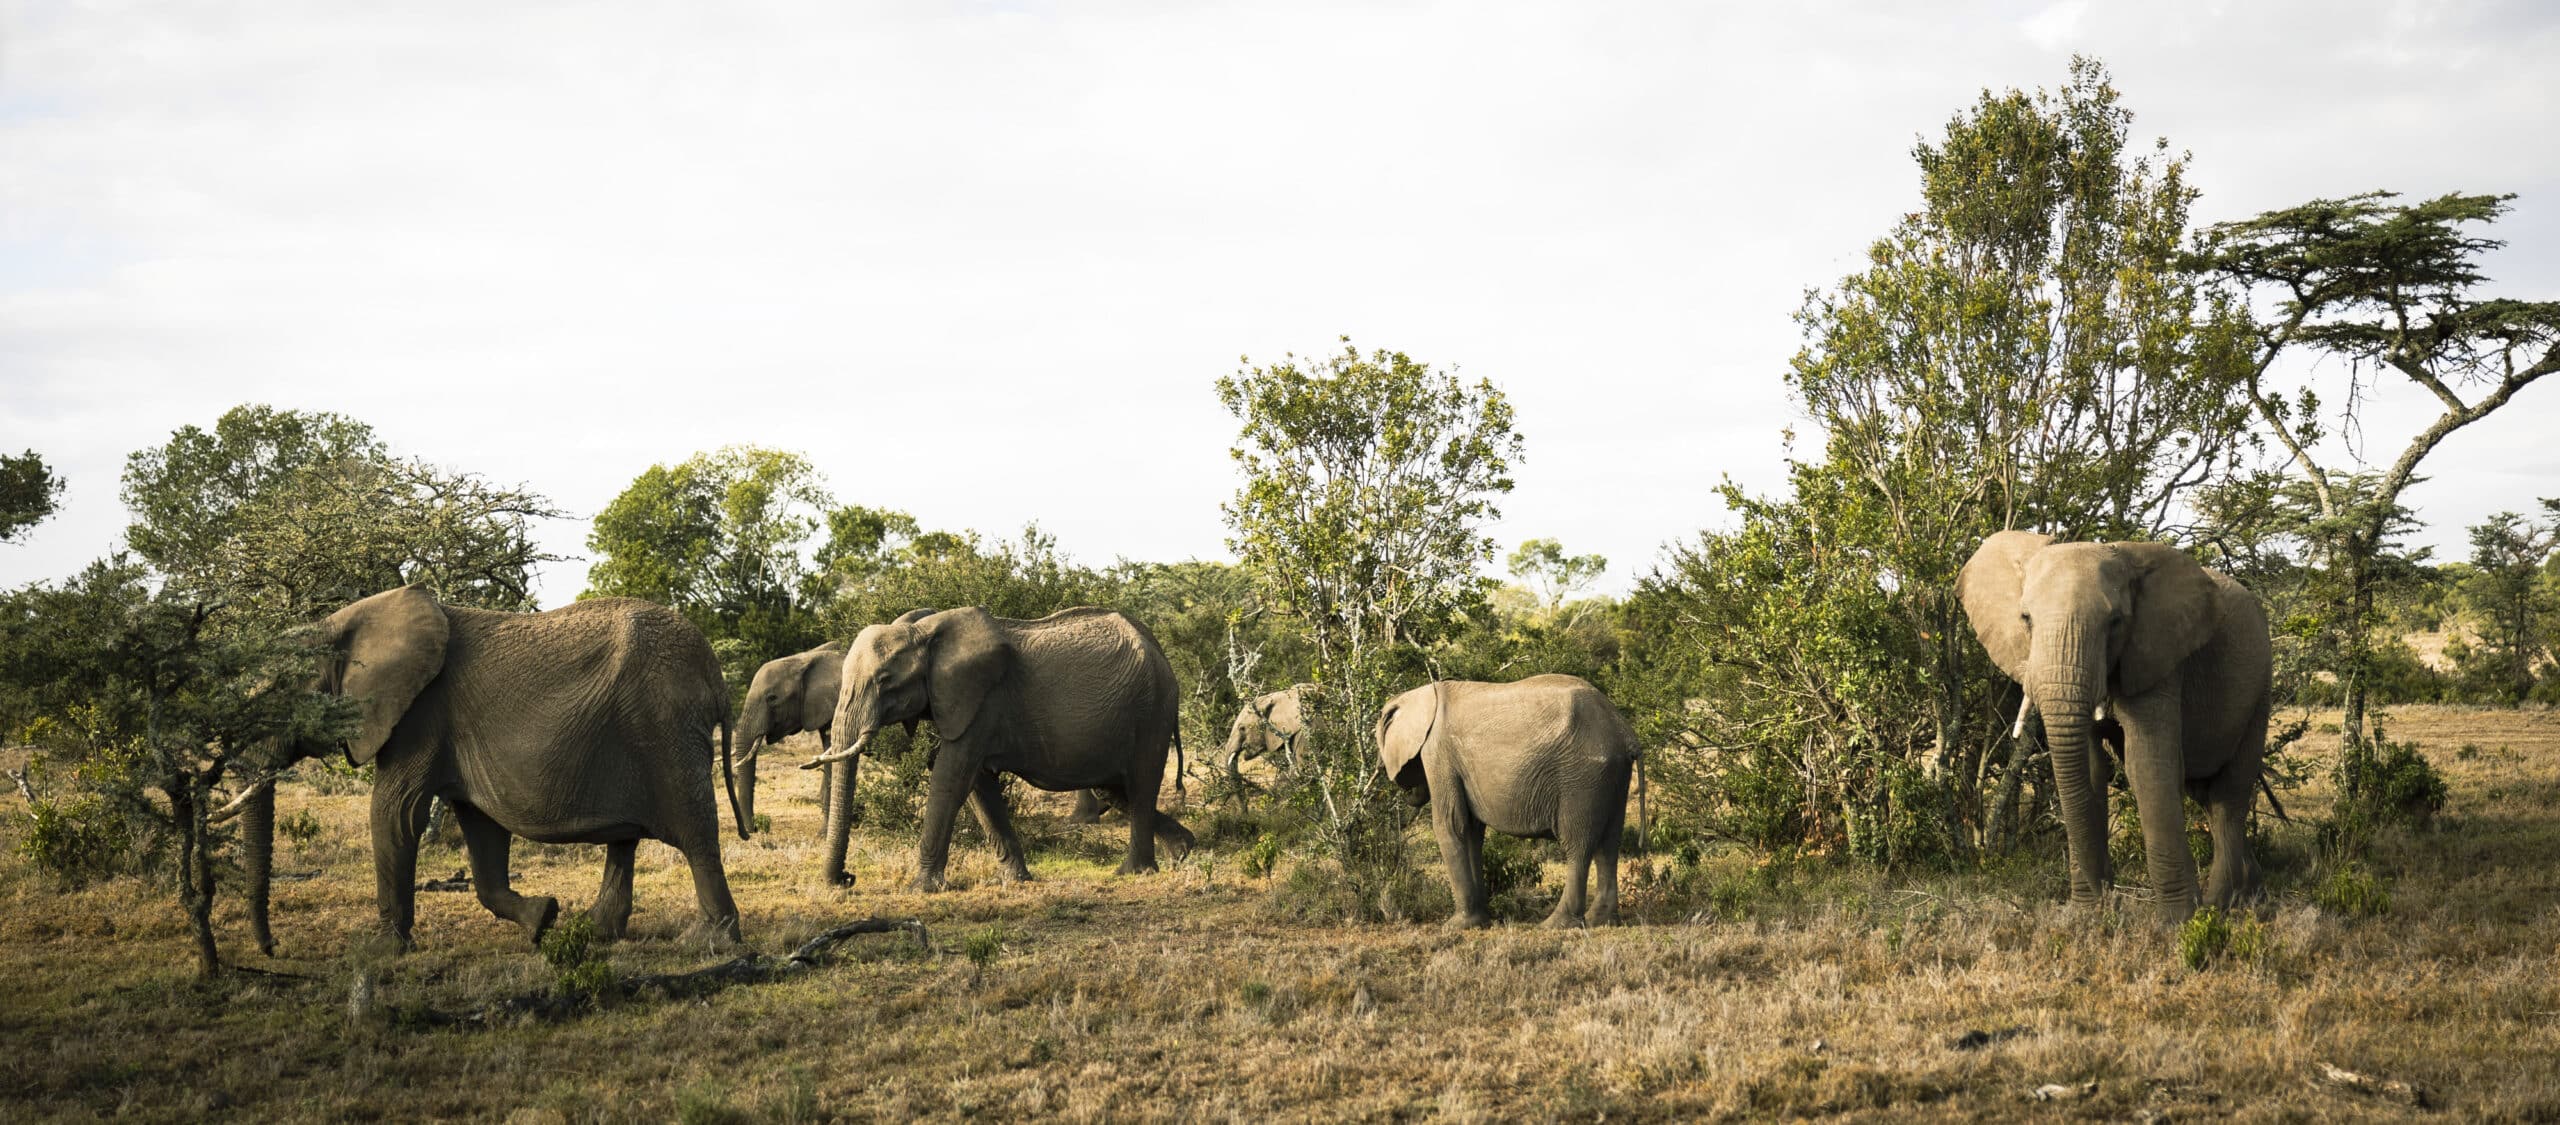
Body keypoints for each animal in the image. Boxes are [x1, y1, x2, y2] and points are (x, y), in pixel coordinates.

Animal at [231, 586, 747, 953]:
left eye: (278, 693)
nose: (274, 948)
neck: (341, 622)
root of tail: (716, 676)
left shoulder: (419, 716)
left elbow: (395, 814)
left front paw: (375, 952)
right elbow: (481, 830)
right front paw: (543, 919)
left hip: (665, 728)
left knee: (696, 833)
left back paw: (708, 943)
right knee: (626, 839)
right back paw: (595, 931)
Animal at [803, 607, 1192, 891]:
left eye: (884, 681)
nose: (847, 879)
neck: (924, 633)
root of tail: (1160, 652)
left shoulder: (982, 702)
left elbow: (951, 778)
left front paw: (921, 889)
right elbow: (979, 787)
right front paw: (1017, 880)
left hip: (1151, 711)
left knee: (1141, 784)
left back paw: (1134, 873)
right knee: (1117, 789)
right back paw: (1183, 851)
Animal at [1382, 671, 1638, 927]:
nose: (1408, 794)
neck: (1424, 694)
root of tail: (1625, 732)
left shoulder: (1438, 753)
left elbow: (1451, 824)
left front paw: (1456, 926)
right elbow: (1473, 831)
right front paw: (1481, 922)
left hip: (1582, 777)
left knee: (1578, 845)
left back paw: (1554, 925)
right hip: (1612, 775)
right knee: (1609, 844)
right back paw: (1601, 921)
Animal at [1955, 533, 2283, 922]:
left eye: (2115, 621)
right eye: (2026, 618)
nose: (2109, 899)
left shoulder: (2158, 654)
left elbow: (2147, 766)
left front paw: (2177, 923)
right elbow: (2091, 770)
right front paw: (2085, 915)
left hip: (2260, 688)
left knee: (2228, 796)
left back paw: (2219, 906)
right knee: (2202, 792)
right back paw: (2252, 896)